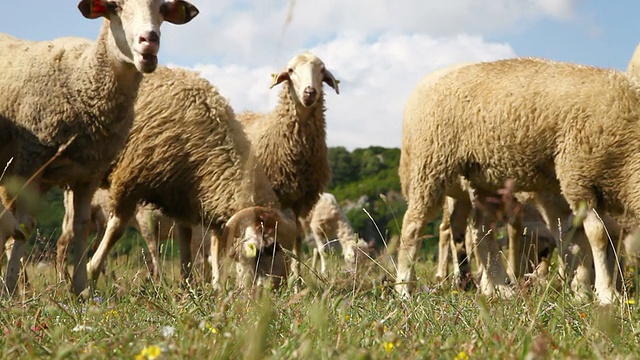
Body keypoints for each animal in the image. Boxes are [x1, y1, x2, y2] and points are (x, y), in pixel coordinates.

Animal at [56, 188, 211, 282]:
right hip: (77, 213)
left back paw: (109, 281)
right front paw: (159, 281)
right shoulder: (146, 219)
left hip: (99, 220)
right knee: (63, 244)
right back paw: (64, 279)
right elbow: (155, 253)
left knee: (97, 246)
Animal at [80, 66, 298, 292]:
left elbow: (185, 244)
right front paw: (91, 273)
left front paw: (187, 286)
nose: (275, 292)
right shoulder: (129, 180)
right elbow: (116, 229)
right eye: (266, 250)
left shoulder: (180, 199)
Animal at [236, 51, 340, 286]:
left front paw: (296, 280)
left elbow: (297, 237)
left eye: (322, 71)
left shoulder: (301, 201)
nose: (310, 92)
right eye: (291, 71)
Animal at [396, 58, 636, 304]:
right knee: (414, 225)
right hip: (431, 164)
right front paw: (606, 294)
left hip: (486, 177)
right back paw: (406, 288)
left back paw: (500, 288)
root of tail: (424, 83)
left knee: (480, 228)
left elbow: (578, 239)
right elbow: (596, 236)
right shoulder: (577, 179)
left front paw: (583, 290)